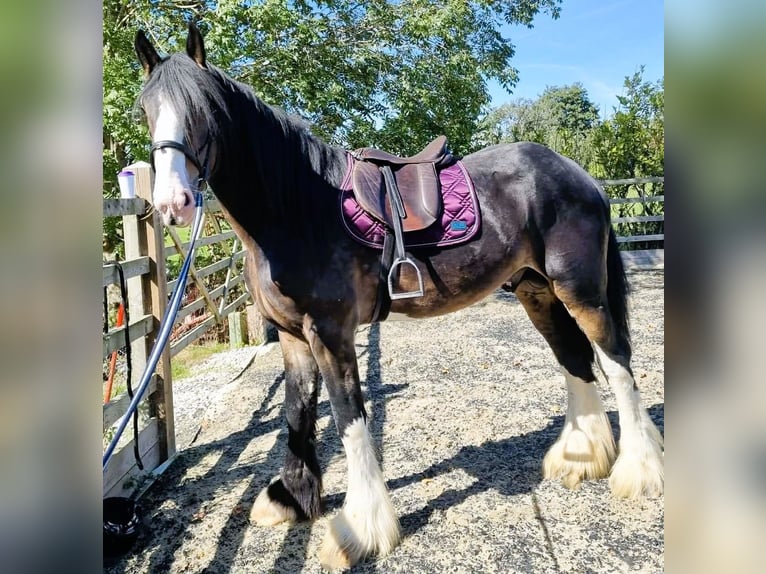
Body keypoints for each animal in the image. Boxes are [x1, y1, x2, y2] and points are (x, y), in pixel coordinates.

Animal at [134, 24, 663, 570]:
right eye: (145, 109)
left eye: (203, 110)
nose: (172, 204)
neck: (296, 209)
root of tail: (579, 175)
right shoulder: (292, 337)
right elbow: (297, 412)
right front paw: (292, 499)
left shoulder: (330, 333)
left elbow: (349, 418)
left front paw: (360, 529)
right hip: (537, 290)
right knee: (575, 357)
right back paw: (580, 458)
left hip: (580, 289)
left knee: (616, 361)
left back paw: (638, 472)